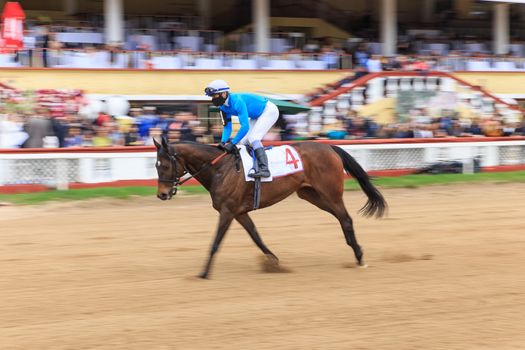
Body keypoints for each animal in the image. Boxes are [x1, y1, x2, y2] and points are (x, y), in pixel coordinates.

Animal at [151, 137, 384, 278]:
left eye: (165, 165)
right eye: (156, 165)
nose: (162, 194)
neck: (220, 169)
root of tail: (329, 146)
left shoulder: (227, 211)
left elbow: (215, 242)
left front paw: (204, 273)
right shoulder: (239, 212)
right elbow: (256, 236)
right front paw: (273, 261)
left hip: (330, 193)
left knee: (346, 219)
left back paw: (359, 257)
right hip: (312, 195)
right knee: (342, 218)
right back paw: (357, 253)